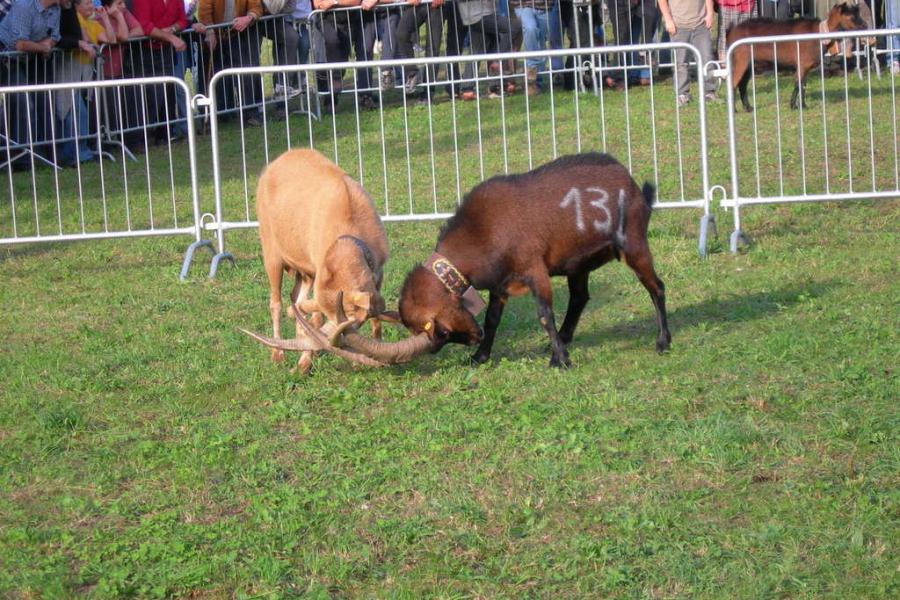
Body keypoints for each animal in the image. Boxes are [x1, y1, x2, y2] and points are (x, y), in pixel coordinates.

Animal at [241, 148, 397, 373]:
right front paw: (305, 362)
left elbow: (375, 319)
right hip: (271, 252)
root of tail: (274, 164)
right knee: (276, 302)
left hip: (304, 270)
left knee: (295, 296)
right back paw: (278, 353)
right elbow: (315, 318)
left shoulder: (377, 272)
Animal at [322, 153, 671, 369]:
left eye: (442, 332)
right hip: (578, 263)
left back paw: (662, 341)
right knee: (580, 297)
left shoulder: (534, 269)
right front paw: (480, 356)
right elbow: (492, 319)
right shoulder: (500, 285)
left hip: (634, 243)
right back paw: (566, 339)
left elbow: (544, 315)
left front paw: (560, 361)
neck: (482, 230)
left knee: (657, 287)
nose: (471, 338)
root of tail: (632, 183)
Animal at [727, 2, 867, 112]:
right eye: (851, 17)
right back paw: (734, 110)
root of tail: (731, 31)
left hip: (750, 65)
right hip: (741, 61)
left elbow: (803, 85)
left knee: (742, 85)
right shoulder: (803, 63)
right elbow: (798, 84)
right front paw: (796, 106)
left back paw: (748, 108)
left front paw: (801, 105)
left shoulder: (806, 66)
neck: (819, 33)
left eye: (859, 14)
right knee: (733, 83)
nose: (864, 26)